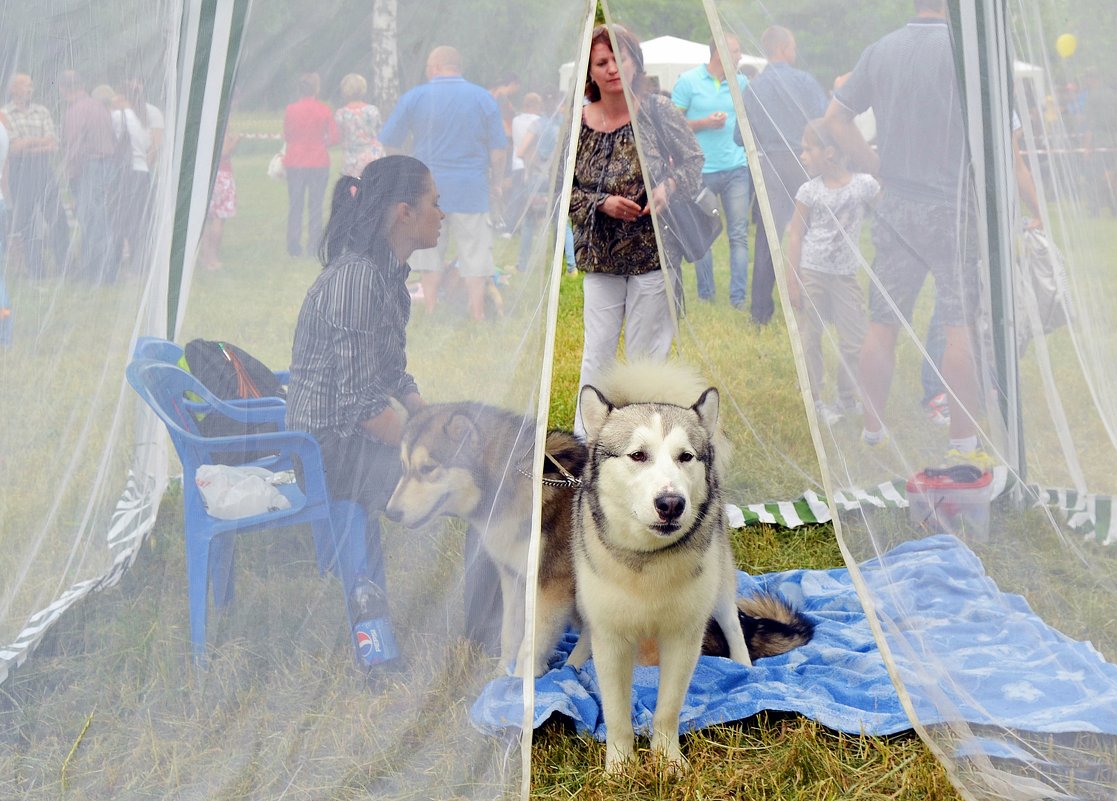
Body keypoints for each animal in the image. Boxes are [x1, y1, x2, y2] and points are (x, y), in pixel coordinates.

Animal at [576, 359, 813, 773]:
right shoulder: (611, 637)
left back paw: (744, 668)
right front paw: (620, 766)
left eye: (685, 456)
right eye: (638, 455)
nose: (671, 504)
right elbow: (618, 713)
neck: (648, 561)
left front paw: (668, 760)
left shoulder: (683, 636)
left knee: (733, 624)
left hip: (719, 585)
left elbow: (667, 709)